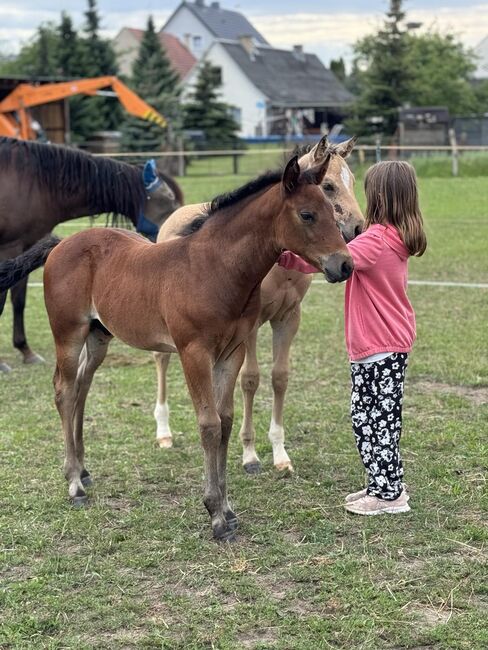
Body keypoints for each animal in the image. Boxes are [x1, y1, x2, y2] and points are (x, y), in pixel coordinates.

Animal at [0, 136, 183, 370]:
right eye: (170, 200)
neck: (32, 182)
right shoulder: (9, 248)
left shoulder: (24, 246)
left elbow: (19, 301)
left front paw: (26, 350)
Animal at [43, 154, 352, 540]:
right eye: (307, 214)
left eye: (331, 209)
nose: (345, 264)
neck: (213, 270)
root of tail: (60, 244)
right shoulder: (193, 353)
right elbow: (208, 425)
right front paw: (216, 515)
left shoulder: (232, 352)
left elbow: (226, 421)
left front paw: (228, 508)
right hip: (68, 333)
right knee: (64, 390)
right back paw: (74, 484)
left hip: (99, 335)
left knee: (83, 386)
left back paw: (84, 471)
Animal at [153, 135, 366, 470]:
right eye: (329, 186)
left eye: (353, 181)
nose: (358, 228)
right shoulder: (250, 326)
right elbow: (250, 379)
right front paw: (250, 455)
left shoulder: (288, 318)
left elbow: (279, 377)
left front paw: (280, 455)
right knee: (161, 359)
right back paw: (164, 432)